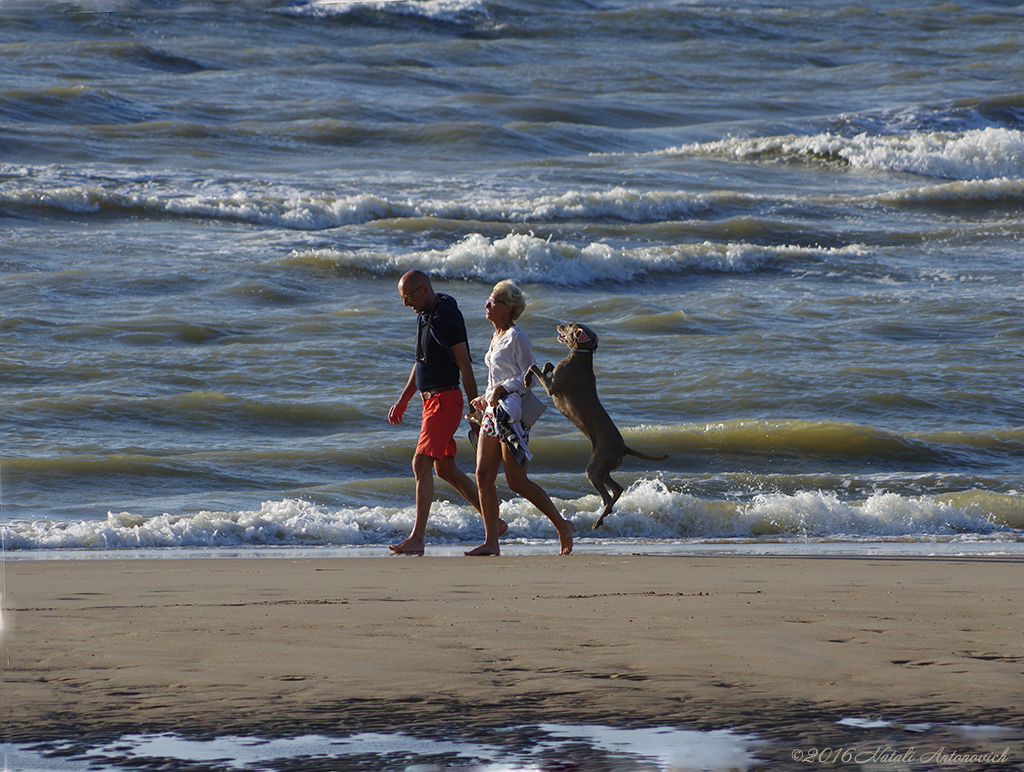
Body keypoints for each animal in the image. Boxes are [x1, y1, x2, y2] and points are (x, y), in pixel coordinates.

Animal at [532, 321, 667, 528]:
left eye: (569, 325)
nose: (558, 324)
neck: (580, 355)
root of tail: (624, 448)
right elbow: (548, 365)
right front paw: (546, 367)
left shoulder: (551, 388)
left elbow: (535, 369)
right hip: (604, 468)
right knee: (617, 489)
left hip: (594, 468)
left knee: (607, 496)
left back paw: (598, 520)